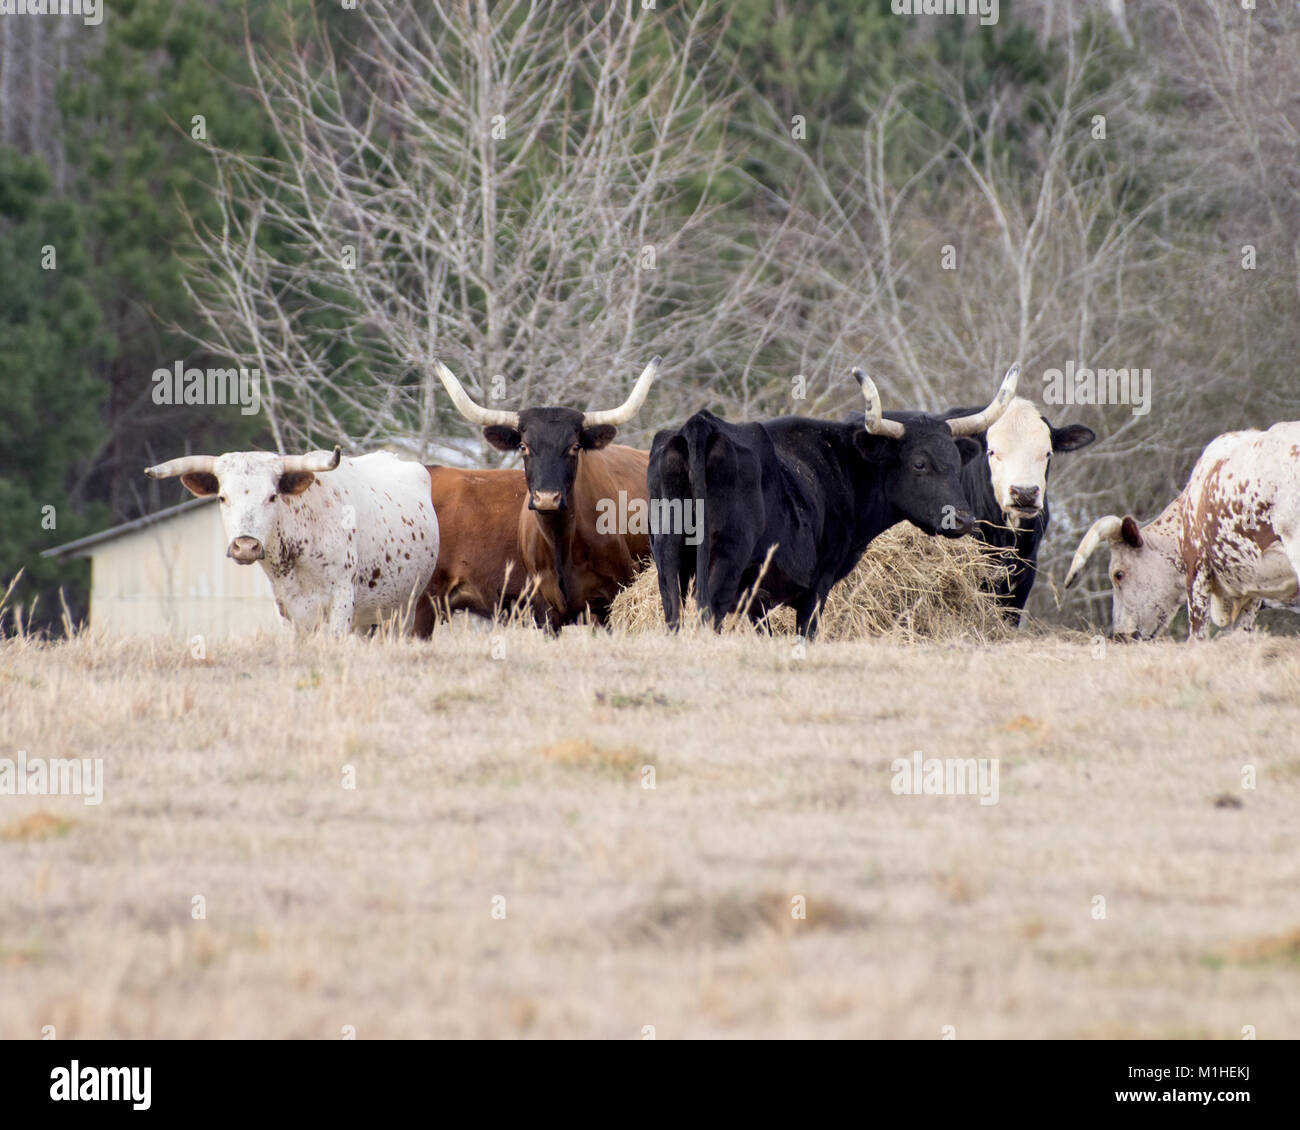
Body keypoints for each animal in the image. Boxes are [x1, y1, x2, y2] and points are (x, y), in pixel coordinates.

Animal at [434, 358, 660, 629]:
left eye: (575, 446)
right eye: (523, 446)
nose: (547, 498)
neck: (561, 542)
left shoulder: (612, 598)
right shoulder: (544, 609)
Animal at [644, 369, 1019, 639]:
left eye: (955, 462)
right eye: (919, 463)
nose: (964, 519)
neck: (840, 463)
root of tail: (700, 425)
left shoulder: (757, 599)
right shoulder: (816, 585)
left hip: (668, 555)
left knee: (674, 616)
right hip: (724, 559)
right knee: (710, 616)